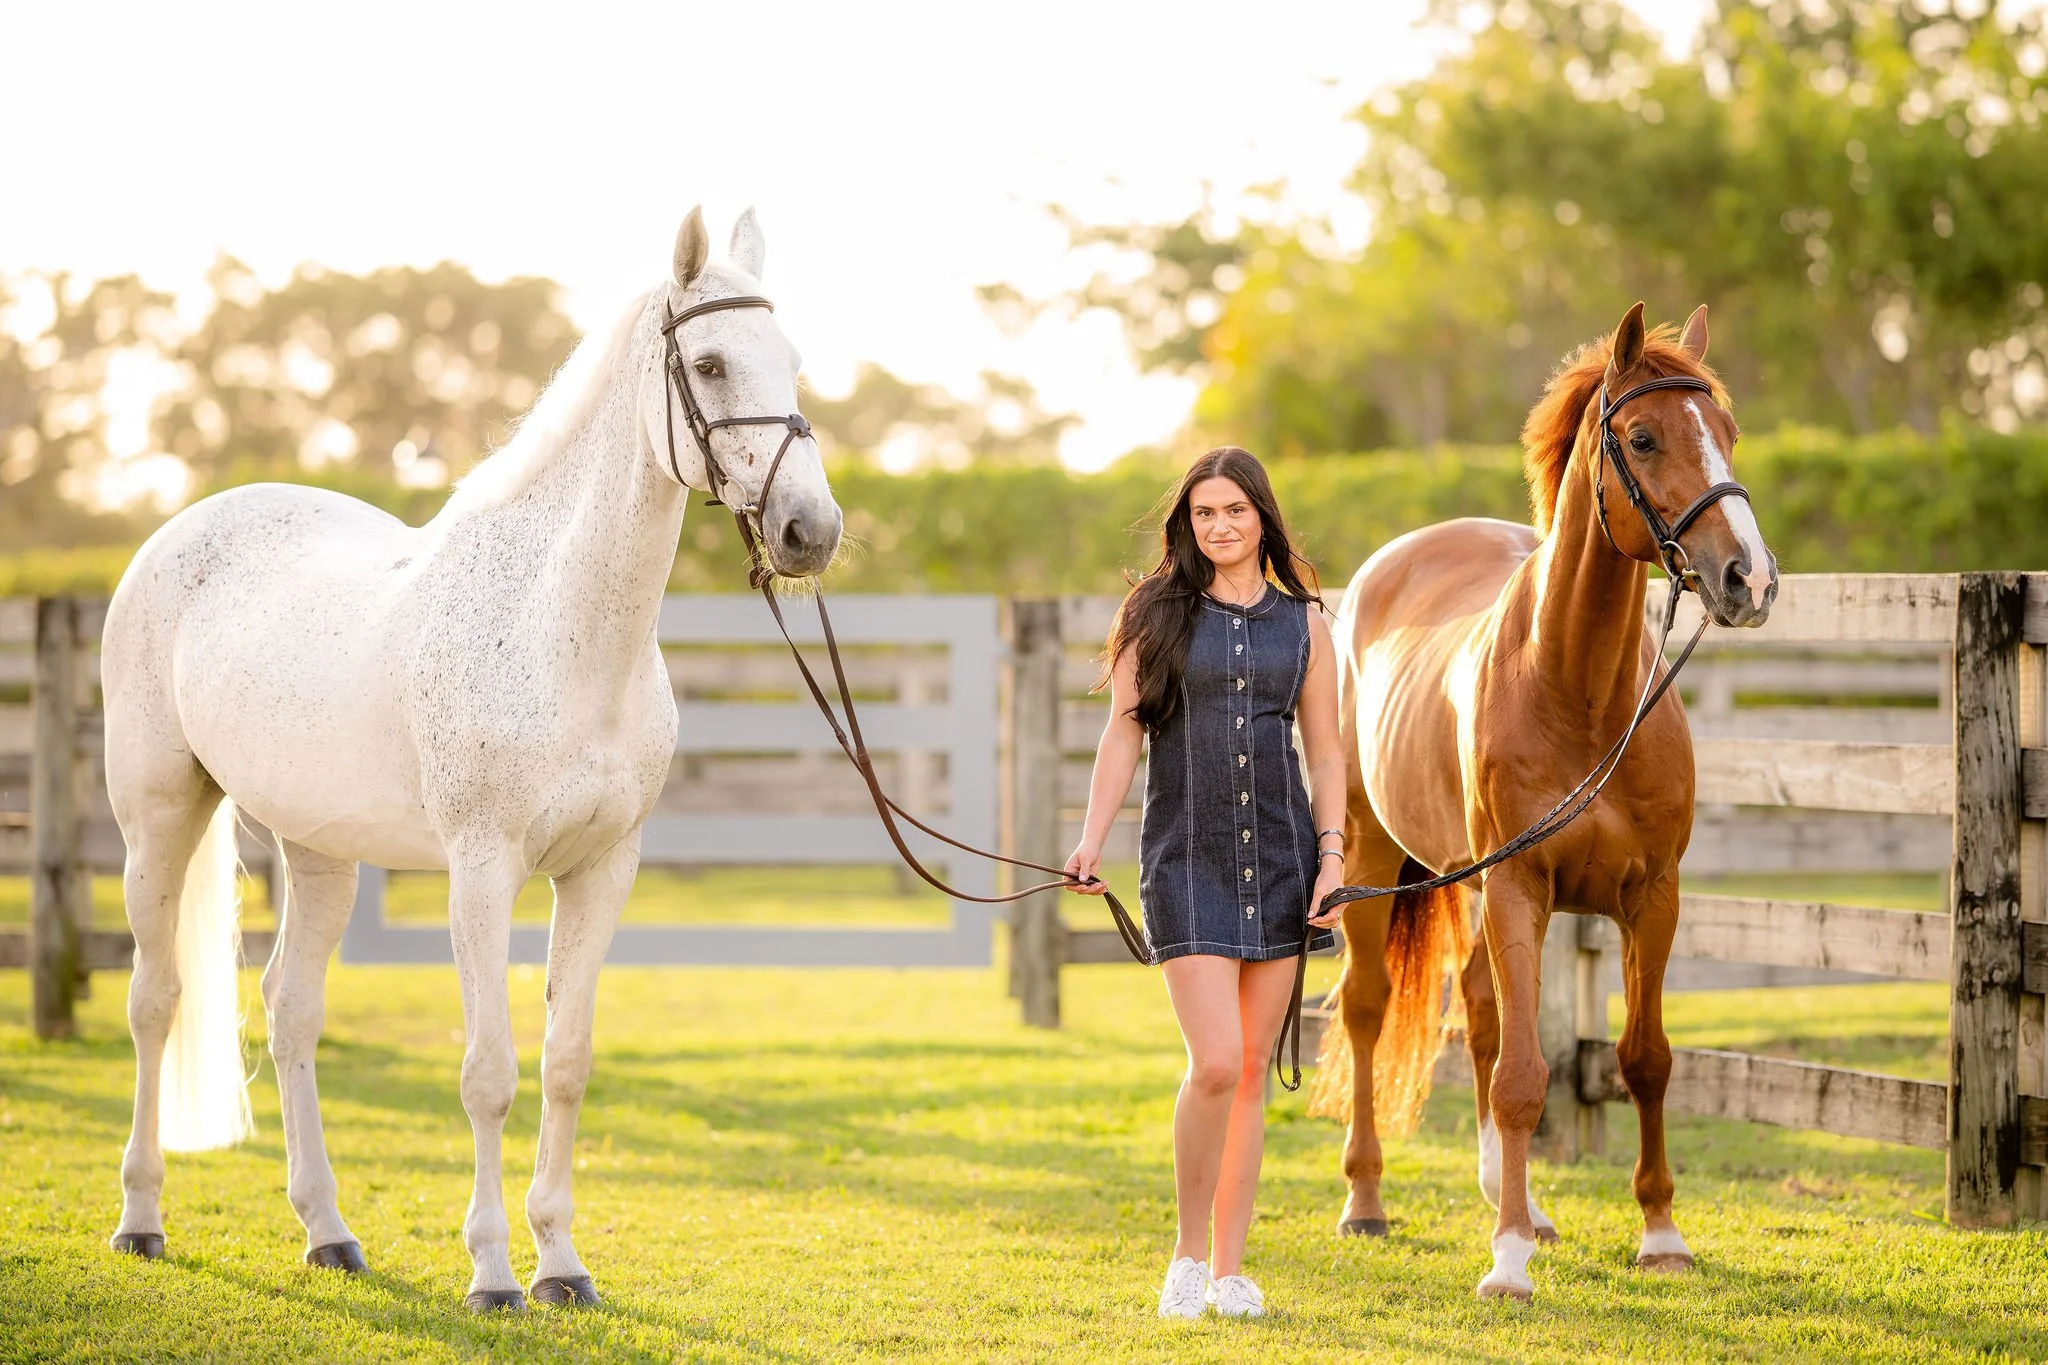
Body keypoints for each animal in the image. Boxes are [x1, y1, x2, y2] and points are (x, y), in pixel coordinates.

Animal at [99, 207, 842, 1311]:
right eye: (708, 364)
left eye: (789, 360)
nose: (810, 531)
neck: (559, 631)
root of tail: (182, 529)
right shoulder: (482, 871)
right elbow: (488, 1073)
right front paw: (493, 1273)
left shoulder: (602, 871)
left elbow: (565, 1060)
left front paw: (562, 1266)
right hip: (158, 817)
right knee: (155, 1002)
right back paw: (141, 1219)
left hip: (318, 852)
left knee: (289, 1011)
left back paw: (328, 1233)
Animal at [1306, 302, 1777, 1301]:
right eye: (1643, 437)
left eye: (1726, 431)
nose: (1749, 579)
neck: (1580, 691)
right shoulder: (1520, 888)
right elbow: (1525, 1073)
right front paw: (1509, 1262)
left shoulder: (1650, 897)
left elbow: (1642, 1059)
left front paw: (1659, 1233)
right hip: (1374, 860)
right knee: (1366, 1008)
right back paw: (1368, 1199)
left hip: (1471, 883)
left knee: (1483, 1014)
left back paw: (1512, 1199)